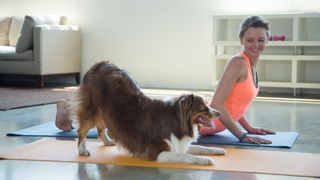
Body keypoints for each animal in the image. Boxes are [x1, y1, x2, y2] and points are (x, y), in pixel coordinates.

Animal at [75, 61, 225, 165]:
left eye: (207, 104)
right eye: (202, 108)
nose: (219, 113)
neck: (178, 120)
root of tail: (98, 64)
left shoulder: (178, 144)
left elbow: (200, 147)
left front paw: (217, 150)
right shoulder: (157, 152)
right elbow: (184, 155)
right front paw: (204, 160)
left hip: (107, 113)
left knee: (100, 128)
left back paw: (107, 141)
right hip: (93, 109)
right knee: (81, 130)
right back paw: (82, 150)